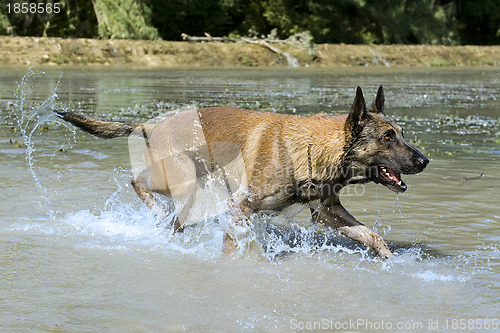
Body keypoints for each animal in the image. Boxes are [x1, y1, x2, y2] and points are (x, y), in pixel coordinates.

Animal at [56, 85, 428, 256]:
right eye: (387, 137)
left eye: (402, 133)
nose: (424, 161)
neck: (311, 149)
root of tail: (151, 125)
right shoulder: (239, 207)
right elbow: (237, 245)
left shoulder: (327, 211)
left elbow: (371, 235)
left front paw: (389, 260)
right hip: (181, 180)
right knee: (138, 181)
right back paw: (158, 216)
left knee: (172, 215)